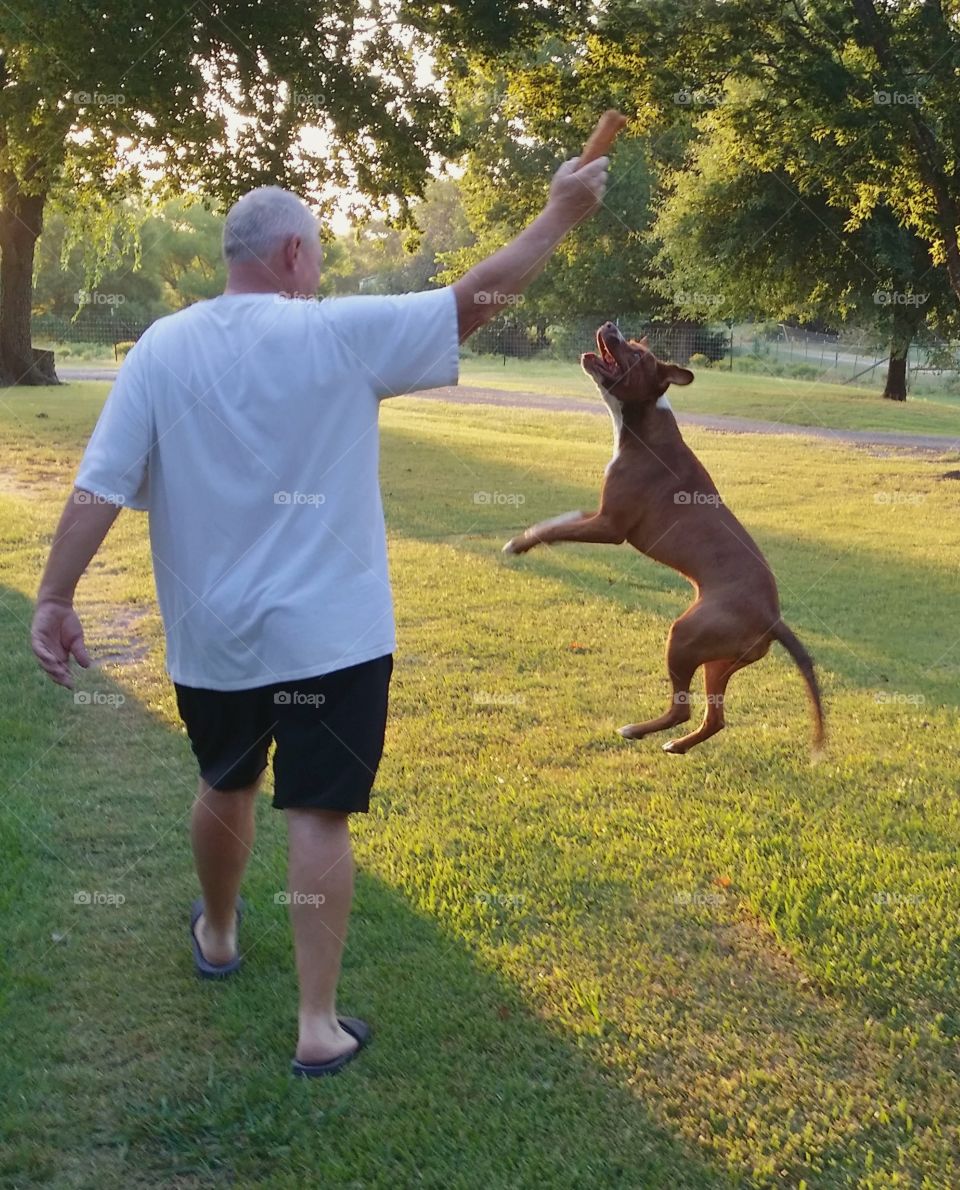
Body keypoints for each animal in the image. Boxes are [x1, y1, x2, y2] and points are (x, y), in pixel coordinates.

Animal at [502, 321, 827, 756]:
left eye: (637, 354)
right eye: (631, 342)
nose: (611, 325)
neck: (643, 426)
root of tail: (773, 618)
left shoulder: (610, 526)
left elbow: (558, 529)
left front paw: (518, 545)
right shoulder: (596, 514)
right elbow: (557, 521)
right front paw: (526, 536)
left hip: (684, 637)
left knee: (682, 708)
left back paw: (635, 731)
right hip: (718, 661)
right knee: (714, 718)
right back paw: (677, 745)